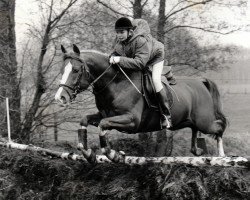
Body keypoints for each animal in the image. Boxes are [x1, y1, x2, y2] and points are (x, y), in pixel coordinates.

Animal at [55, 44, 229, 163]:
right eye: (62, 70)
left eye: (76, 70)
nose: (60, 98)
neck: (116, 83)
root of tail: (201, 82)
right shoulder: (105, 115)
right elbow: (85, 120)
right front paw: (88, 153)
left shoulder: (131, 121)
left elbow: (103, 125)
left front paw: (114, 155)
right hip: (192, 121)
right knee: (195, 130)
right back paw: (197, 150)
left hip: (204, 122)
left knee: (220, 127)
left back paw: (221, 156)